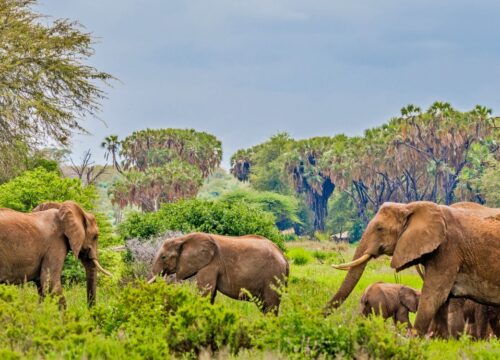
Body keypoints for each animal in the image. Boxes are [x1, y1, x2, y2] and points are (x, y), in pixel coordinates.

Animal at [148, 232, 290, 314]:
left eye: (163, 257)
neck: (183, 239)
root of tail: (284, 257)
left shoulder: (211, 264)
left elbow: (205, 292)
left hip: (273, 276)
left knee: (270, 307)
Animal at [324, 201, 500, 336]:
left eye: (380, 228)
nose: (319, 315)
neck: (409, 207)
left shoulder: (448, 251)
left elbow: (433, 297)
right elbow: (442, 301)